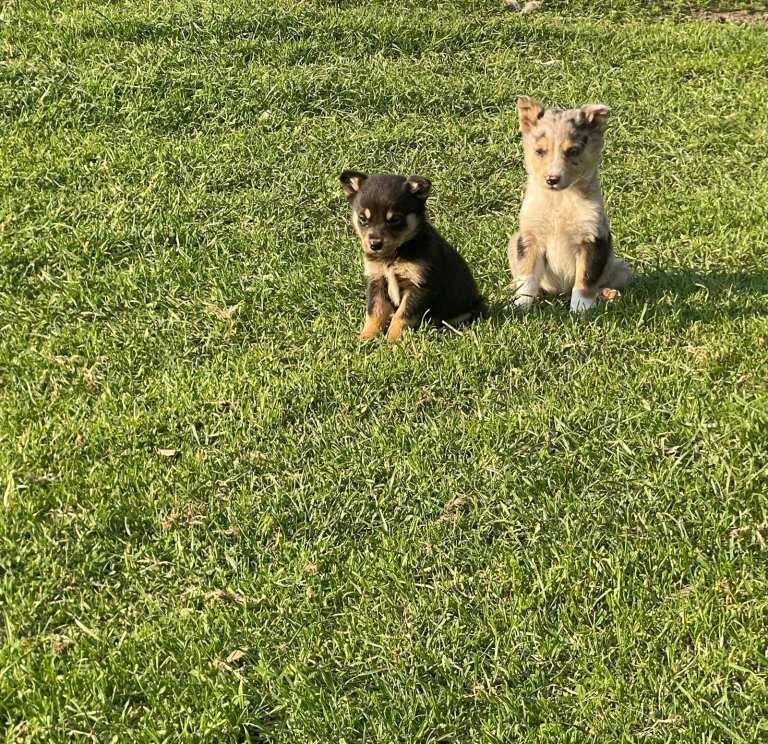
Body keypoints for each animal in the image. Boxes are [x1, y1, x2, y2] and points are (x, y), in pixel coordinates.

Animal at [341, 171, 485, 342]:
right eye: (363, 219)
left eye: (395, 220)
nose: (375, 245)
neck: (394, 255)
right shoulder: (377, 280)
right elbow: (374, 312)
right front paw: (366, 338)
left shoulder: (420, 285)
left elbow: (401, 315)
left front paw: (392, 340)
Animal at [508, 97, 633, 312]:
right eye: (539, 151)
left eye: (573, 151)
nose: (552, 179)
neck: (560, 199)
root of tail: (560, 292)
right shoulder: (531, 238)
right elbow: (528, 276)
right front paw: (521, 304)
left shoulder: (592, 239)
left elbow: (585, 278)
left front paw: (580, 309)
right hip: (513, 244)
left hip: (620, 267)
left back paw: (608, 294)